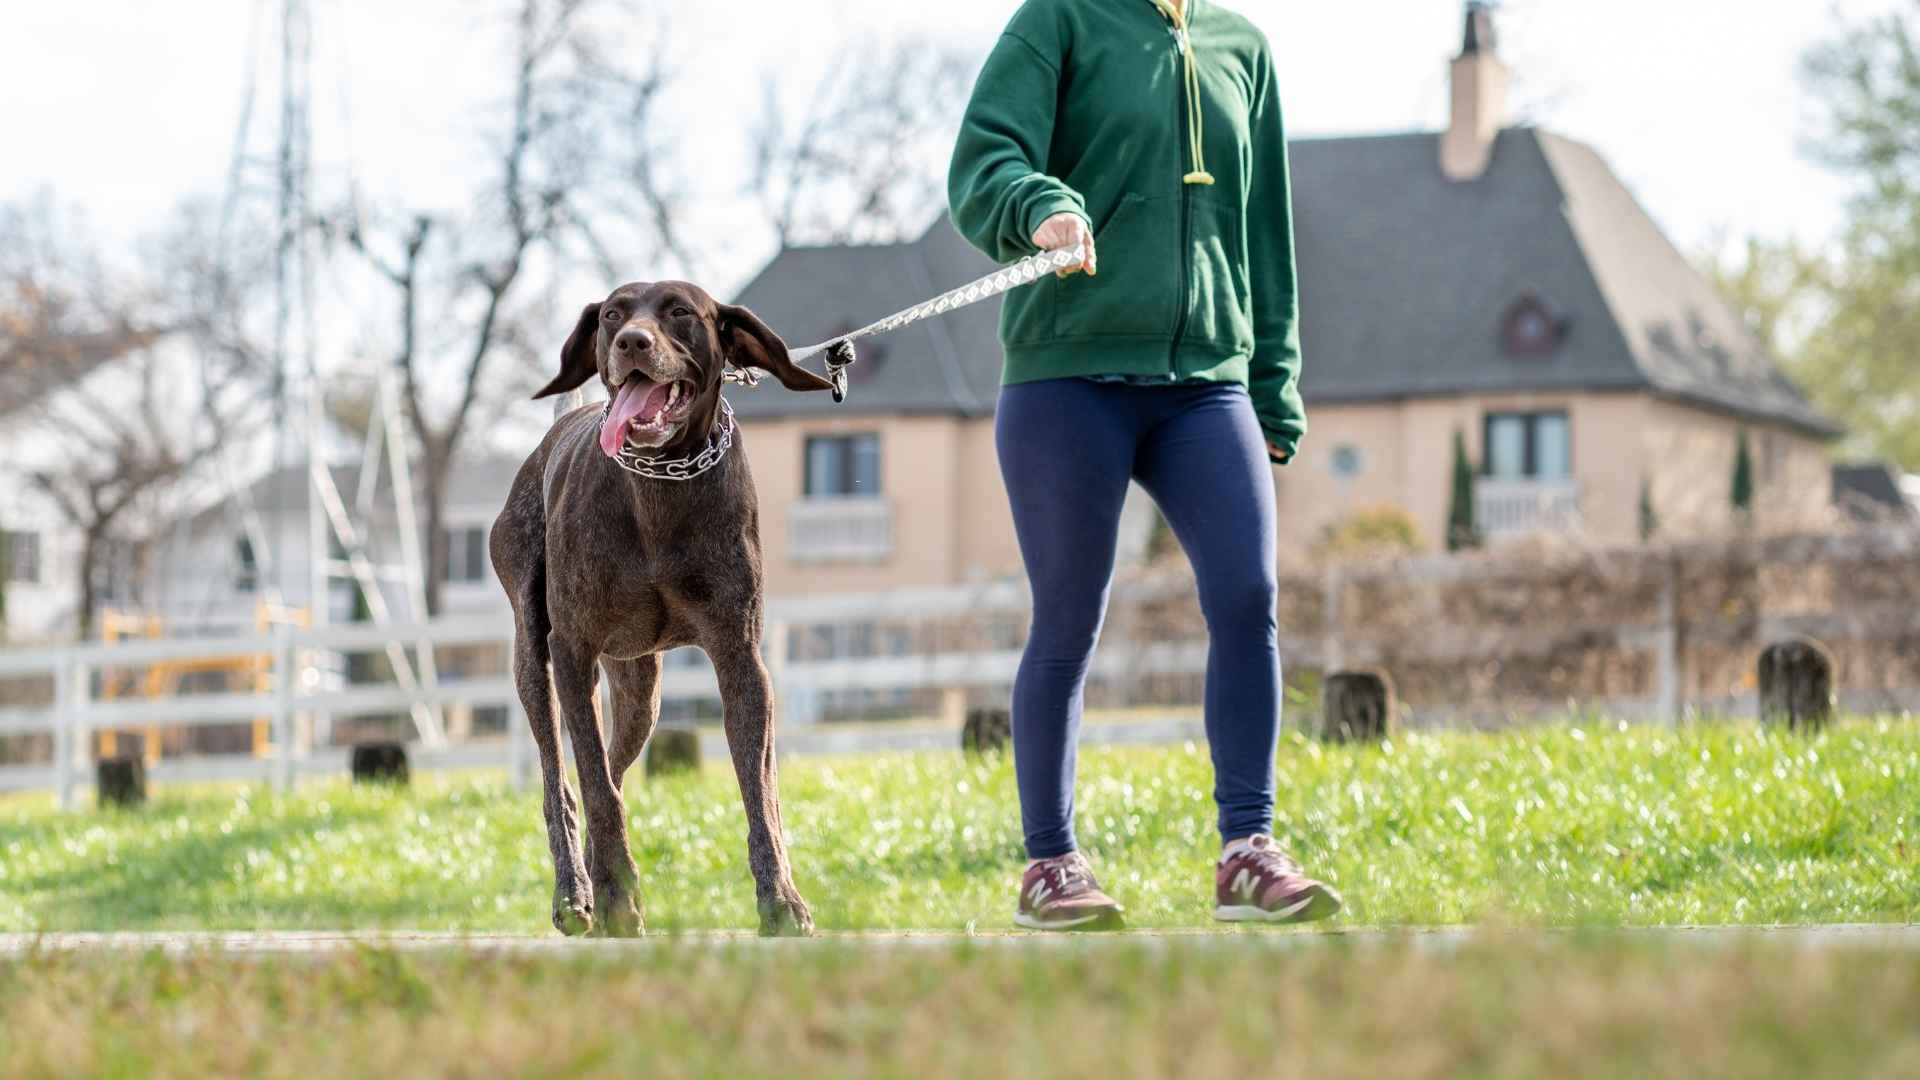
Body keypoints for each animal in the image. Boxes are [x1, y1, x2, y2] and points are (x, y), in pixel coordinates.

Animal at [487, 278, 833, 933]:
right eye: (612, 314)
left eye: (680, 311)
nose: (631, 342)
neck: (660, 483)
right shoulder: (572, 652)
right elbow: (593, 784)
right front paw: (618, 899)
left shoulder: (740, 657)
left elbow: (761, 791)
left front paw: (781, 901)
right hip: (534, 657)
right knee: (561, 779)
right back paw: (576, 892)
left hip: (639, 689)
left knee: (616, 766)